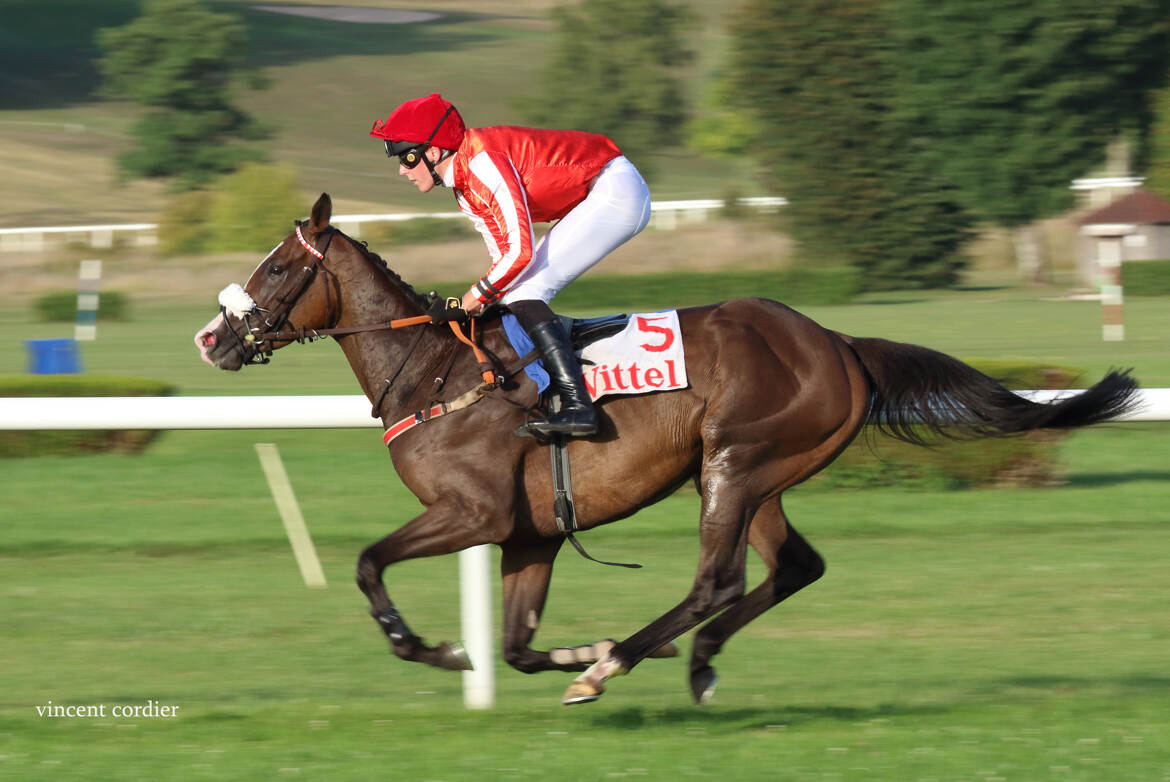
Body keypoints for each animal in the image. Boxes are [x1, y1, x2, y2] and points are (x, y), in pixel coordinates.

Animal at [195, 193, 1139, 705]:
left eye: (277, 268)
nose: (212, 339)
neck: (434, 370)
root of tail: (836, 341)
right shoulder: (530, 534)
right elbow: (517, 644)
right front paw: (563, 651)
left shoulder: (474, 513)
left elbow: (368, 563)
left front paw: (438, 649)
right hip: (761, 478)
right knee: (792, 567)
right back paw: (695, 662)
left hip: (733, 462)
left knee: (716, 579)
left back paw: (622, 662)